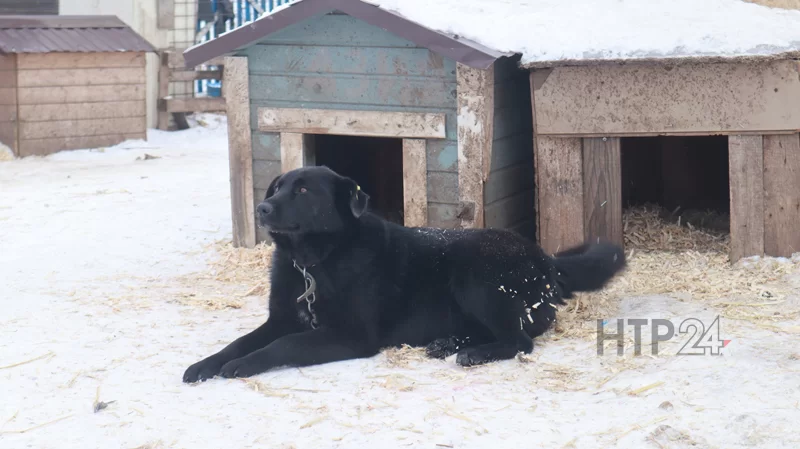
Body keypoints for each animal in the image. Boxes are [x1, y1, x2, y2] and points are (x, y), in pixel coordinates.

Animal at [183, 165, 624, 382]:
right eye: (277, 187)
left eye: (304, 190)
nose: (262, 207)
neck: (316, 261)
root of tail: (544, 258)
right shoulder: (280, 319)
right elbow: (240, 341)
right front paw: (207, 364)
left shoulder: (352, 336)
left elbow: (284, 345)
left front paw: (242, 366)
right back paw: (448, 343)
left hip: (475, 274)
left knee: (521, 340)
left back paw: (474, 352)